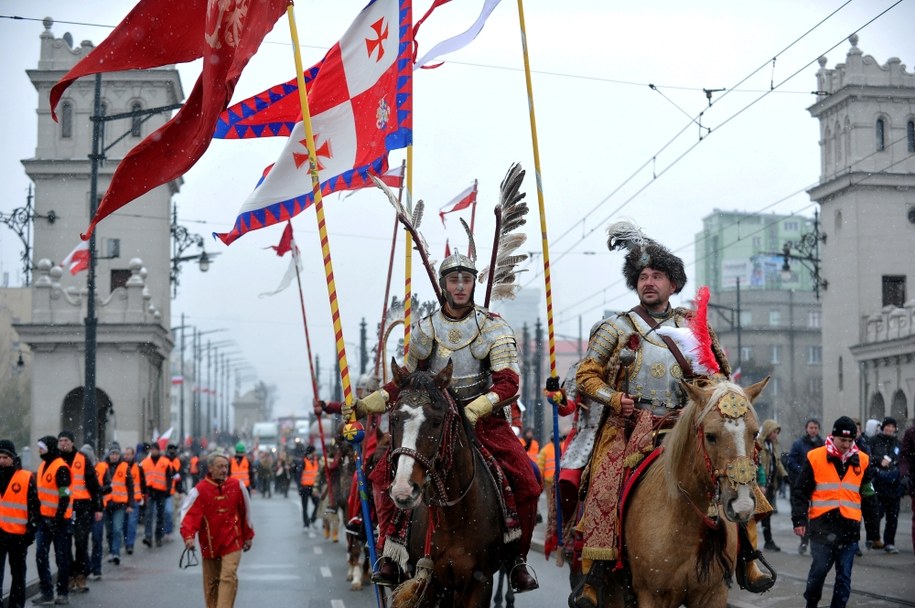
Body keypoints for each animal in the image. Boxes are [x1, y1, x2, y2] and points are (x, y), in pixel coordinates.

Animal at [386, 364, 508, 604]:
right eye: (394, 418)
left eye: (436, 421)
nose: (404, 490)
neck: (453, 516)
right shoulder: (430, 584)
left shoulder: (480, 583)